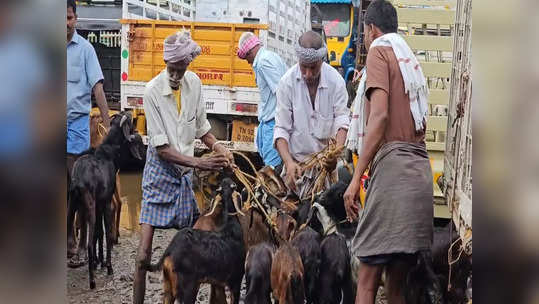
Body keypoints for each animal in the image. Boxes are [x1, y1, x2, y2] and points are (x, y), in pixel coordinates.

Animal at [67, 111, 141, 290]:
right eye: (129, 121)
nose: (137, 133)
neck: (108, 153)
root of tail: (78, 180)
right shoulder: (106, 203)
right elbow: (106, 232)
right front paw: (108, 266)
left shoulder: (100, 203)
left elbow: (99, 233)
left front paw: (98, 262)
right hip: (89, 206)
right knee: (88, 242)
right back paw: (92, 281)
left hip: (73, 205)